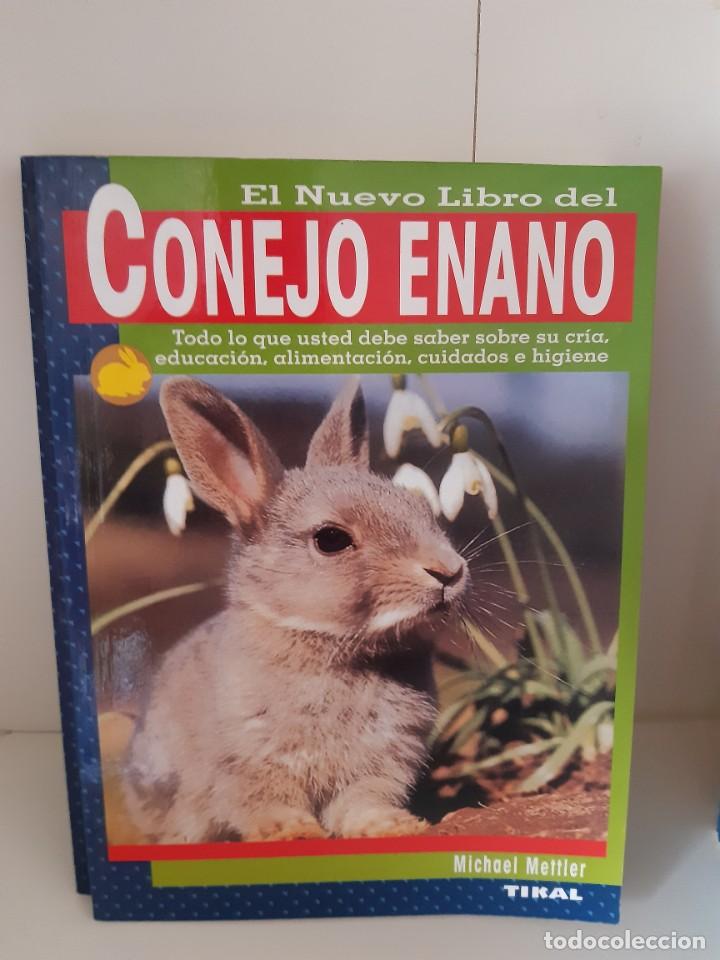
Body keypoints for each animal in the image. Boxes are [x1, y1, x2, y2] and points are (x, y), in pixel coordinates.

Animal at [122, 376, 469, 843]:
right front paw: (295, 834)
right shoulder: (250, 765)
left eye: (420, 507)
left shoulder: (382, 762)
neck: (338, 649)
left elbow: (363, 801)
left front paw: (392, 826)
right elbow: (267, 803)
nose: (449, 571)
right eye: (331, 539)